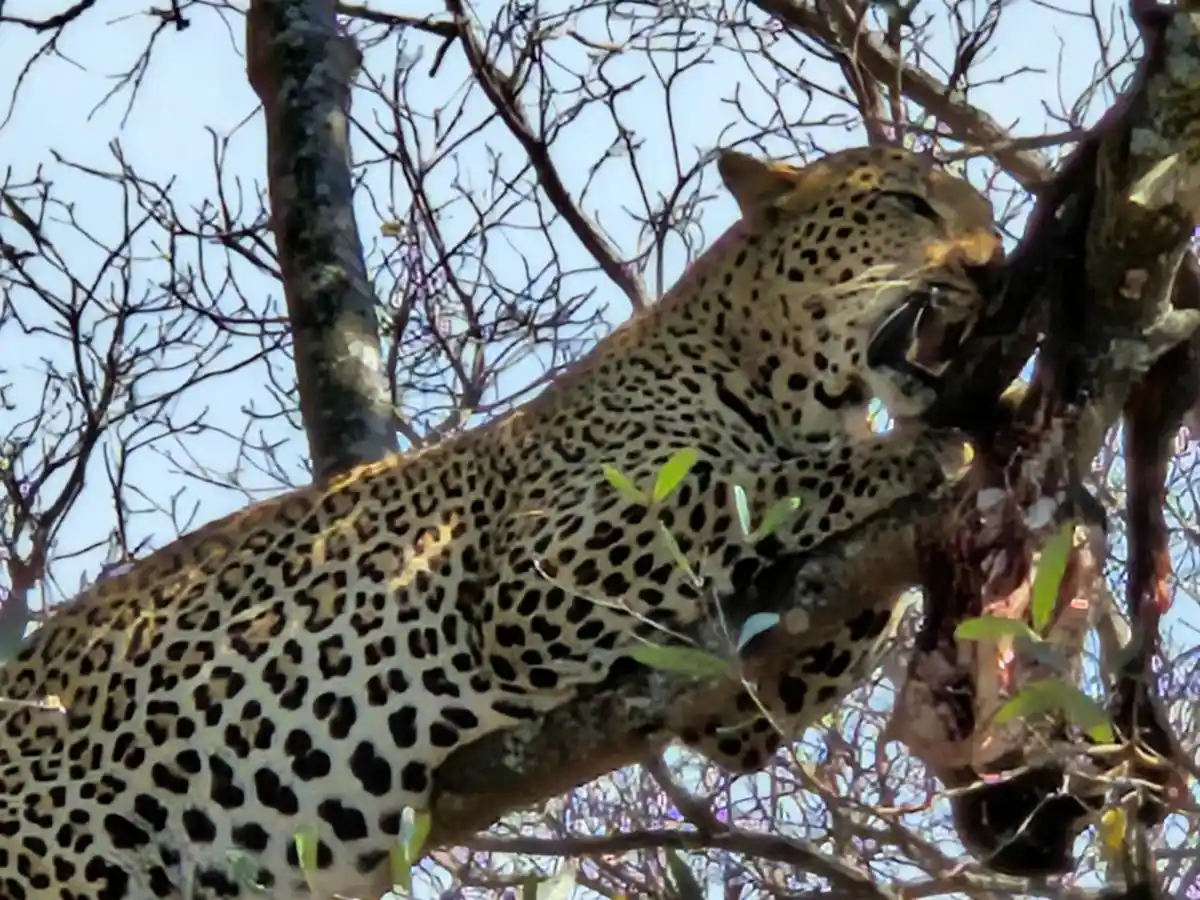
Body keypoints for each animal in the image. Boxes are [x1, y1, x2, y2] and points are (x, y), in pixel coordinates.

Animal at [0, 144, 1001, 900]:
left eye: (984, 206)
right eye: (910, 201)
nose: (992, 264)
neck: (779, 381)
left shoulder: (736, 699)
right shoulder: (537, 574)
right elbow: (751, 489)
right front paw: (919, 454)